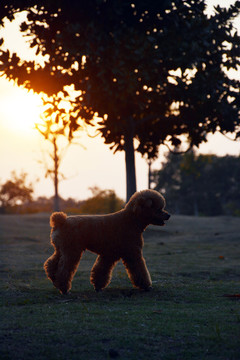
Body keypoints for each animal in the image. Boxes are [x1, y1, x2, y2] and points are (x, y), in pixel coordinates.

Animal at [43, 190, 171, 294]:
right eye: (158, 209)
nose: (168, 215)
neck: (131, 220)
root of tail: (61, 221)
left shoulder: (109, 254)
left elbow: (102, 270)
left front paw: (98, 287)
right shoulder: (132, 252)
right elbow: (139, 269)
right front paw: (146, 286)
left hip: (61, 249)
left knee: (51, 263)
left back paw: (53, 279)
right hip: (71, 250)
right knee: (64, 269)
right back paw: (64, 289)